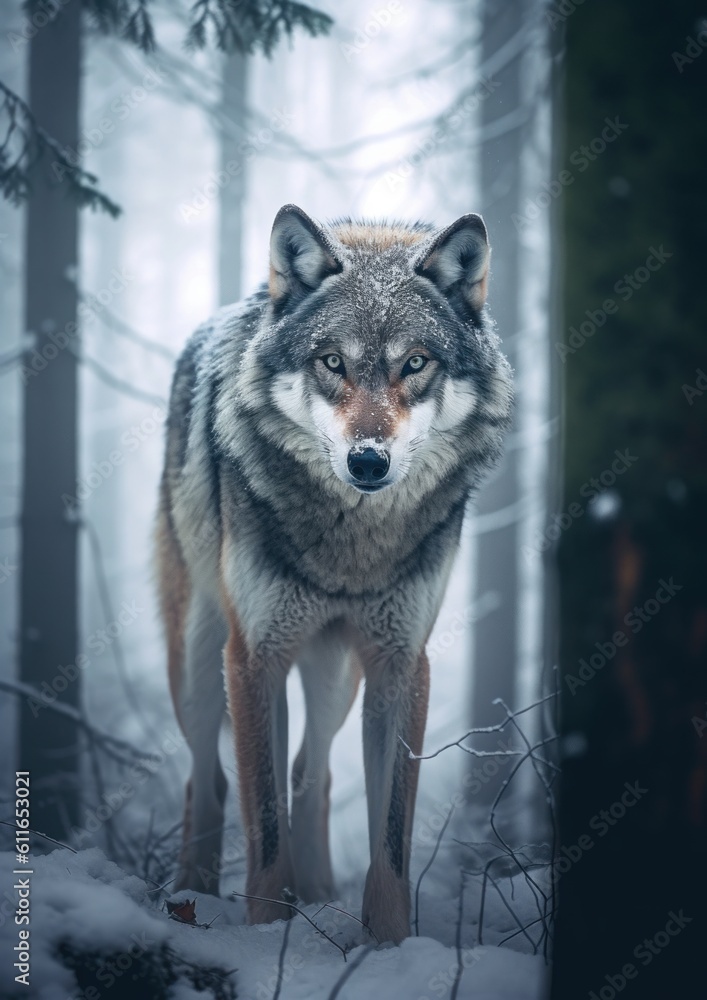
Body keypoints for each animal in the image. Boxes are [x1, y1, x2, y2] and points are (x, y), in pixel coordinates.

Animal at [157, 204, 513, 943]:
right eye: (331, 362)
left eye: (414, 363)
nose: (368, 461)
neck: (352, 547)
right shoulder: (254, 656)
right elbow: (264, 828)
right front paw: (266, 936)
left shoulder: (400, 660)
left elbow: (391, 840)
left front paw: (385, 945)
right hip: (199, 664)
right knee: (208, 778)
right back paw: (192, 896)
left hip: (334, 675)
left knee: (310, 773)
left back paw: (317, 895)